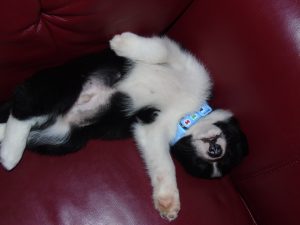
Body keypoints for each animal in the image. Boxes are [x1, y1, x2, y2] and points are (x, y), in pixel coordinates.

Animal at [0, 32, 247, 221]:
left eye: (216, 161)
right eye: (228, 151)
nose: (215, 151)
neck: (186, 108)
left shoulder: (151, 129)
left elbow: (163, 165)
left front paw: (167, 201)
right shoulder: (184, 62)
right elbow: (160, 50)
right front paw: (122, 42)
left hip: (66, 138)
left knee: (24, 121)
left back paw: (7, 146)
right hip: (61, 84)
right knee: (24, 107)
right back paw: (11, 153)